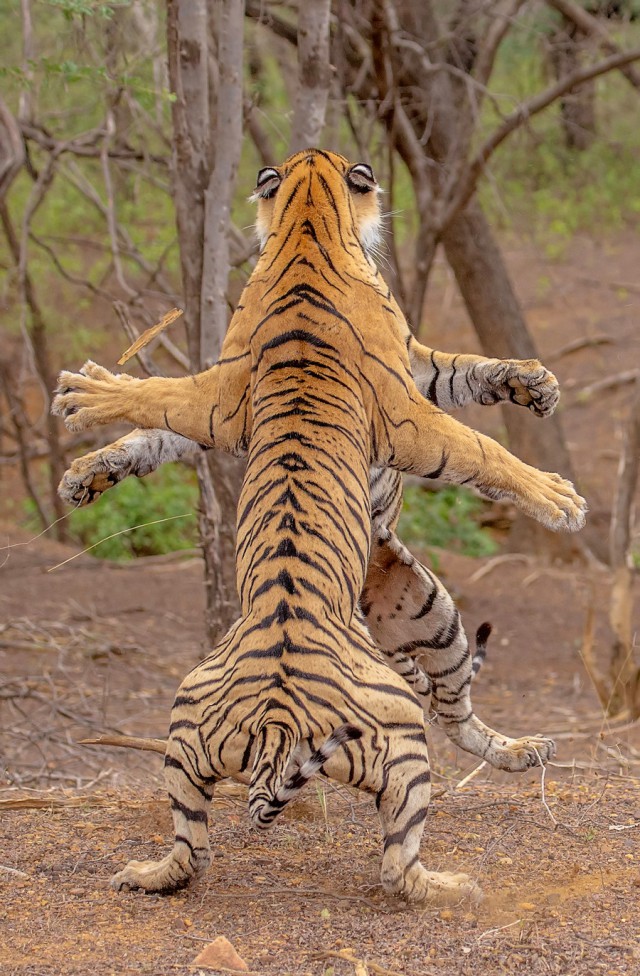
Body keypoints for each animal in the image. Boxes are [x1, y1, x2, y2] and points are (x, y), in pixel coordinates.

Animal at [52, 149, 588, 904]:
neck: (306, 223)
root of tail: (279, 720)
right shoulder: (397, 406)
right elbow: (482, 449)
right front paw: (560, 497)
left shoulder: (337, 383)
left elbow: (467, 372)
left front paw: (532, 382)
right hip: (396, 714)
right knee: (399, 857)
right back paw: (458, 885)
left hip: (405, 632)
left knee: (448, 718)